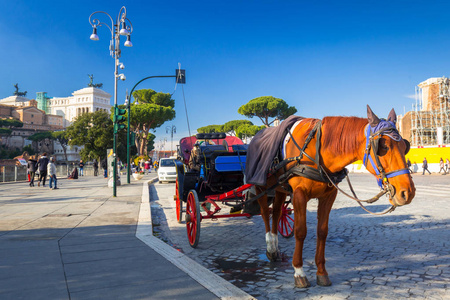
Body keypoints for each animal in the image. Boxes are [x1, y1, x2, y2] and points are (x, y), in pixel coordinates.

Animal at [256, 106, 414, 288]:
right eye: (384, 147)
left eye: (404, 146)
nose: (408, 192)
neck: (317, 151)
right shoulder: (299, 194)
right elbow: (300, 231)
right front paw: (299, 271)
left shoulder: (329, 195)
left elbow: (322, 231)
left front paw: (321, 272)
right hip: (260, 187)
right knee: (265, 213)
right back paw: (269, 246)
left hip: (280, 188)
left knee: (276, 213)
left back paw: (274, 249)